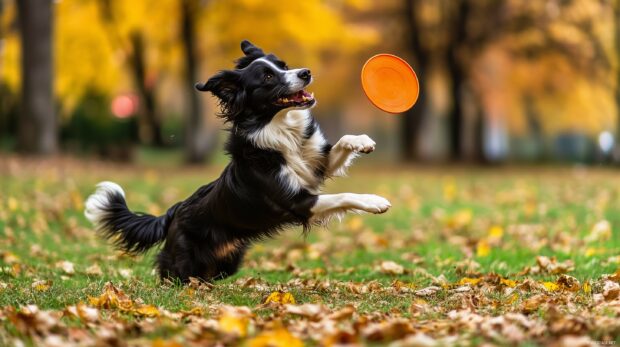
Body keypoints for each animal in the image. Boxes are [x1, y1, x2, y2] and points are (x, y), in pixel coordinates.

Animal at [85, 40, 390, 284]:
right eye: (267, 76)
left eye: (284, 65)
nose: (306, 72)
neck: (279, 129)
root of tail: (174, 210)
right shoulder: (298, 202)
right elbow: (342, 195)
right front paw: (375, 201)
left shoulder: (315, 167)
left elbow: (340, 145)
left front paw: (363, 141)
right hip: (183, 259)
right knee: (172, 273)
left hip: (230, 259)